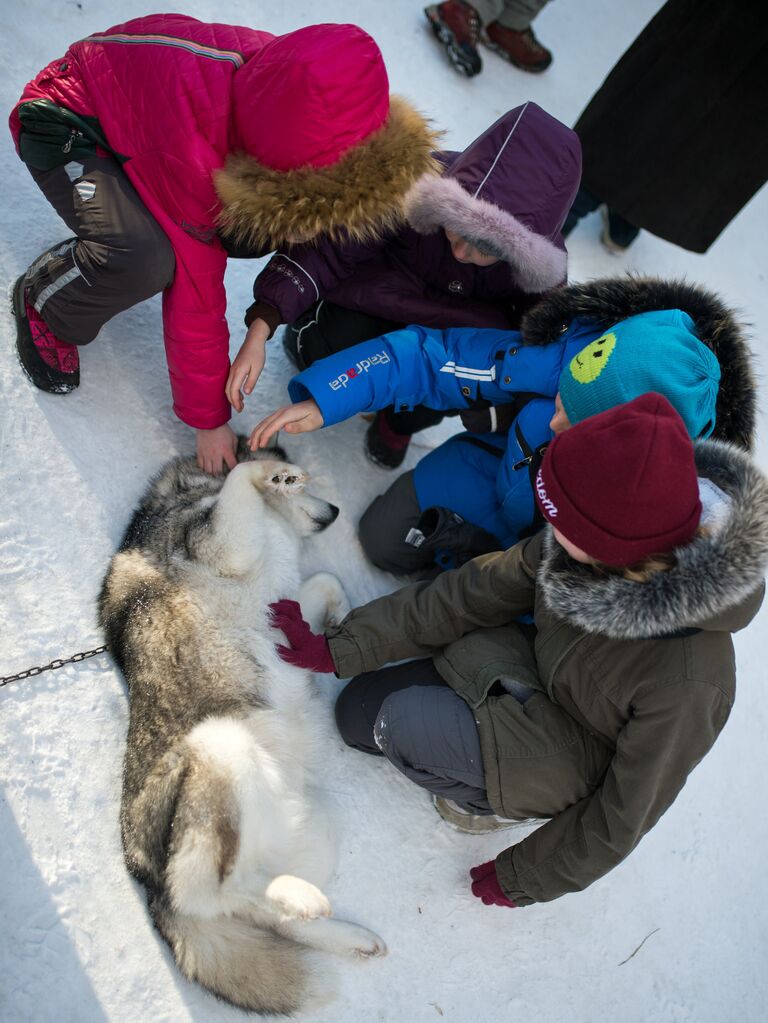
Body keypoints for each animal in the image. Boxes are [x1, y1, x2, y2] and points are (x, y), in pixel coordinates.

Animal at [99, 443, 386, 1010]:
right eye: (306, 486)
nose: (334, 512)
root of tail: (148, 883)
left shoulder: (285, 599)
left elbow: (325, 583)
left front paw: (336, 627)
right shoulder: (222, 541)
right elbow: (242, 476)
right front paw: (272, 472)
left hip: (314, 825)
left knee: (255, 905)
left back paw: (339, 929)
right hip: (221, 745)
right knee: (216, 893)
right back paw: (304, 902)